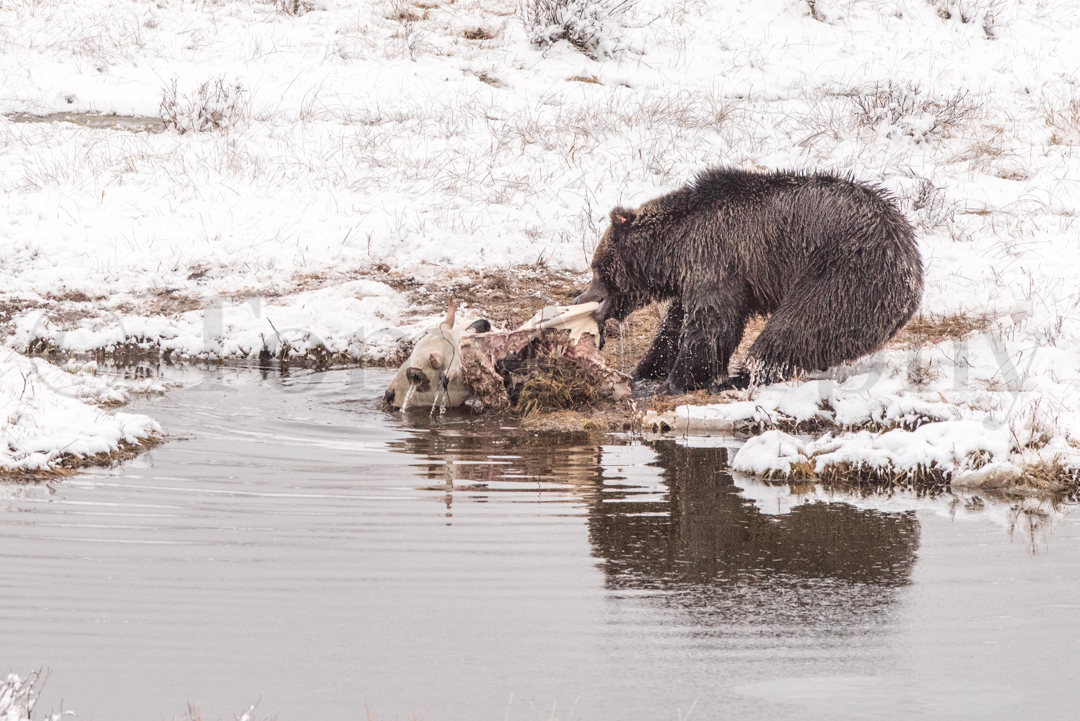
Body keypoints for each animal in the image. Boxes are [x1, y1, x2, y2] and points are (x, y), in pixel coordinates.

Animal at [575, 167, 924, 394]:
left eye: (597, 268)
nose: (580, 296)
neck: (674, 248)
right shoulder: (696, 274)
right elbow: (675, 324)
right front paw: (646, 370)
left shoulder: (719, 260)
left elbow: (712, 325)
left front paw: (676, 381)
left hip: (842, 274)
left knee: (792, 329)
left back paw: (740, 377)